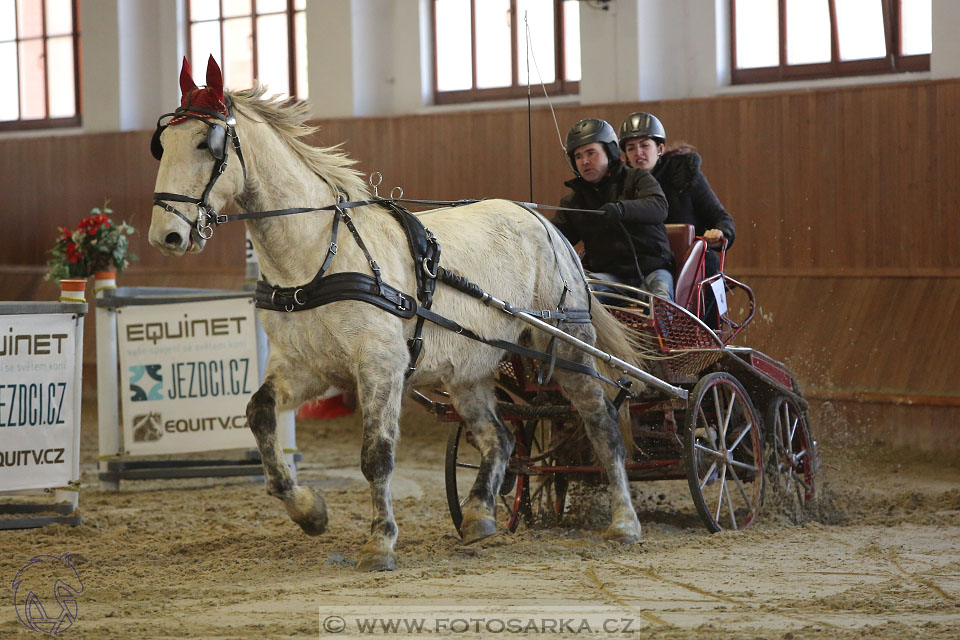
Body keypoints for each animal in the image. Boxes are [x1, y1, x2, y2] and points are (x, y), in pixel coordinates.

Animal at [148, 58, 644, 568]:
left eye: (206, 144)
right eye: (161, 145)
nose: (166, 235)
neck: (315, 256)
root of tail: (545, 223)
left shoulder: (380, 363)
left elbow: (377, 454)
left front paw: (380, 542)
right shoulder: (304, 366)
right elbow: (260, 414)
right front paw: (309, 511)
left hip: (567, 347)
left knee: (602, 424)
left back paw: (624, 522)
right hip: (468, 372)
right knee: (499, 438)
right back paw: (478, 516)